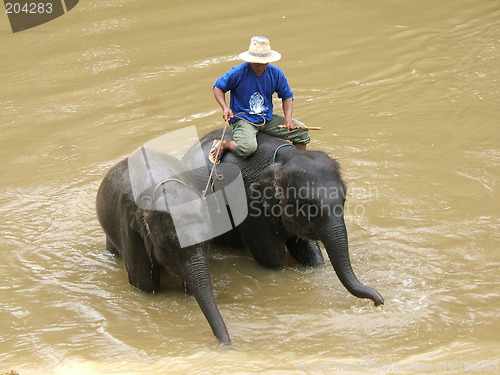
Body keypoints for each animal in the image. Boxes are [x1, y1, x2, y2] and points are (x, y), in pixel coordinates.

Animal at [184, 128, 382, 306]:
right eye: (308, 206)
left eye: (344, 199)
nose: (378, 302)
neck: (284, 158)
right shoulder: (249, 206)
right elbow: (273, 260)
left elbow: (307, 249)